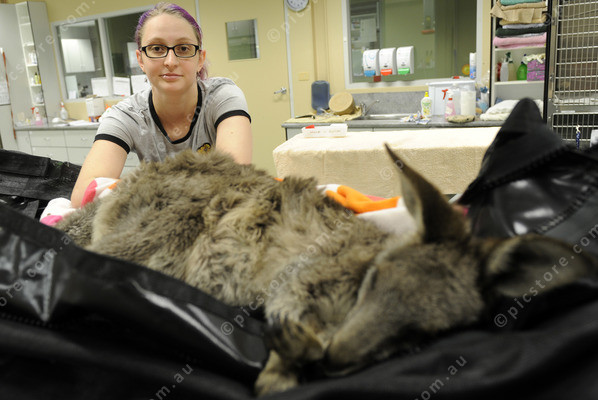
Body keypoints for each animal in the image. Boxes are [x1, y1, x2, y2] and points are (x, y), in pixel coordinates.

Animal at [56, 146, 598, 396]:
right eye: (375, 280)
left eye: (423, 335)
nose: (339, 358)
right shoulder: (304, 272)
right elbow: (289, 310)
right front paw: (281, 370)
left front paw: (292, 362)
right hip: (156, 237)